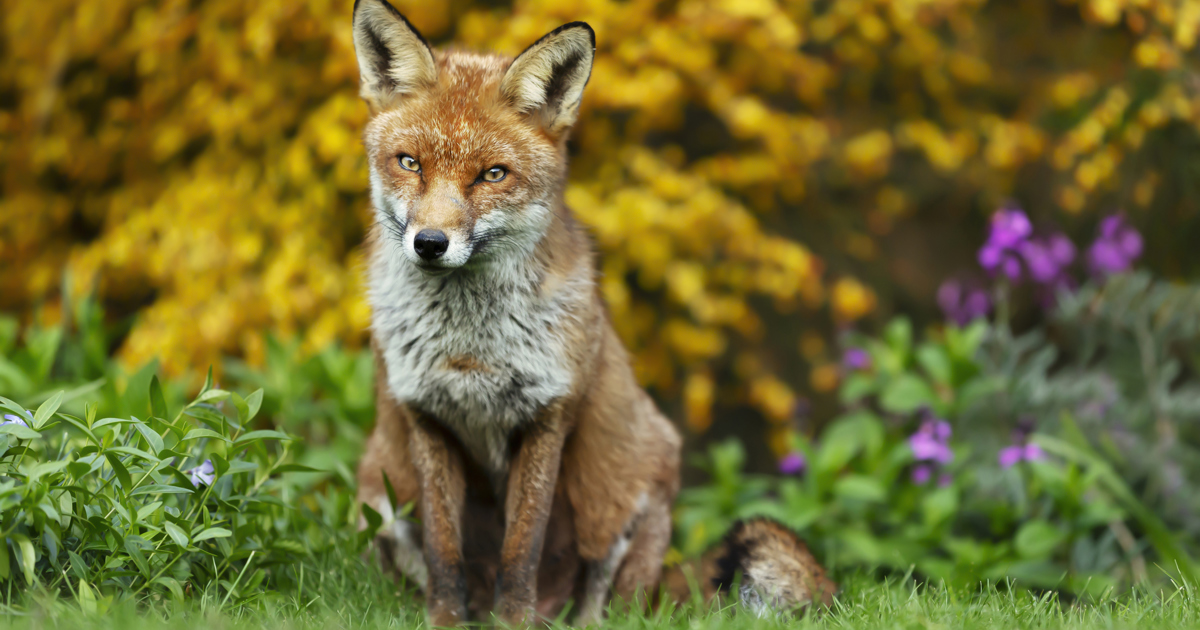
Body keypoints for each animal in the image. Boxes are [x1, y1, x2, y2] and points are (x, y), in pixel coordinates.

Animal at [348, 0, 836, 625]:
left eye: (492, 174)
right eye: (409, 163)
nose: (430, 243)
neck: (471, 350)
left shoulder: (548, 416)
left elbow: (521, 550)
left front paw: (513, 623)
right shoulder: (426, 419)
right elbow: (444, 552)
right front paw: (446, 622)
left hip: (626, 489)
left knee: (610, 606)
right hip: (376, 489)